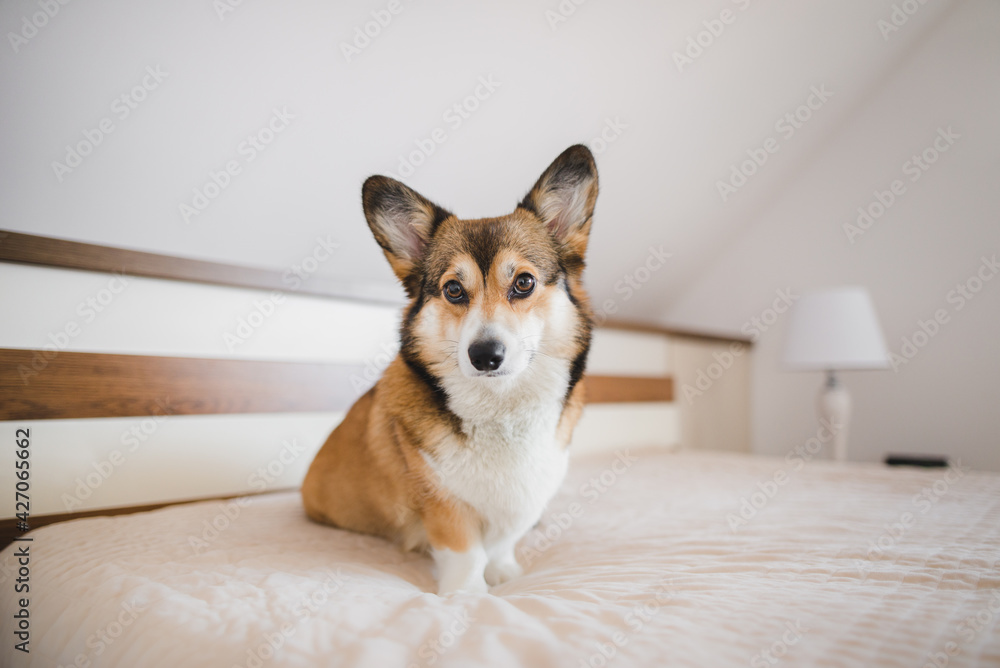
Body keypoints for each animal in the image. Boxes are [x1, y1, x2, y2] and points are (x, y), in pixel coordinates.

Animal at [300, 146, 596, 596]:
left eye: (524, 283)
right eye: (453, 289)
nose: (485, 355)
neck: (500, 411)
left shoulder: (524, 499)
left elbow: (503, 542)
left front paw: (504, 573)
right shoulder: (442, 503)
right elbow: (466, 553)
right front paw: (467, 596)